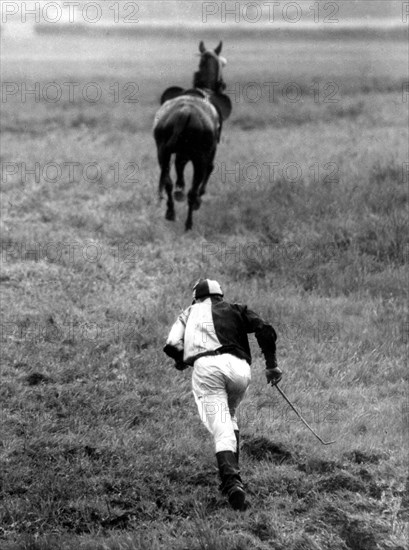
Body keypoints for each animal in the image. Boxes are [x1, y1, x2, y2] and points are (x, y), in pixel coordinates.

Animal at [152, 40, 231, 231]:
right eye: (222, 64)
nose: (222, 85)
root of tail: (185, 113)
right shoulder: (210, 151)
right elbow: (210, 169)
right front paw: (197, 199)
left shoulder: (179, 153)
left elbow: (179, 169)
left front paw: (179, 189)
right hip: (199, 158)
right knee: (193, 190)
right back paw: (189, 222)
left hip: (162, 153)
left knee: (167, 182)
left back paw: (171, 212)